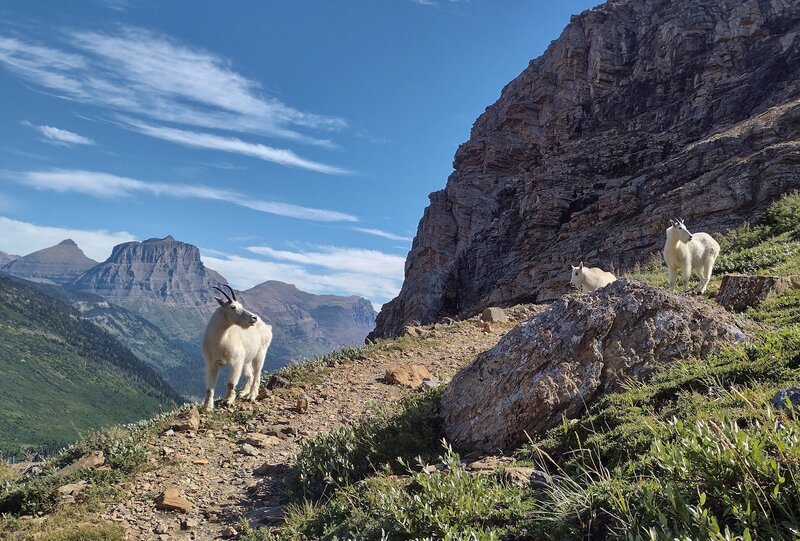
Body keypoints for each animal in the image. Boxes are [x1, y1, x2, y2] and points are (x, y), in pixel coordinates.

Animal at [202, 284, 274, 412]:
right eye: (233, 307)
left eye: (241, 305)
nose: (253, 318)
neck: (220, 340)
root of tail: (267, 327)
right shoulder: (211, 364)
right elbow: (209, 388)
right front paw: (207, 408)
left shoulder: (236, 362)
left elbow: (230, 383)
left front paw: (228, 401)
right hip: (246, 359)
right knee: (250, 374)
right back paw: (243, 392)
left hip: (260, 354)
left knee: (257, 373)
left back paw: (252, 396)